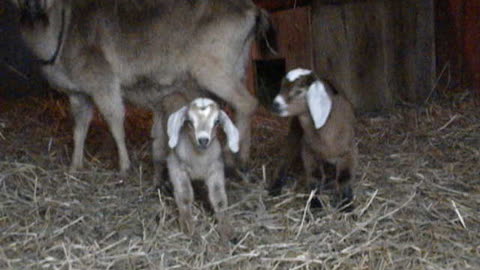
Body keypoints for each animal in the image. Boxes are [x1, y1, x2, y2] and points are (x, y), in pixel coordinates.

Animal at [166, 98, 239, 237]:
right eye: (189, 121)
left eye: (216, 121)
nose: (203, 140)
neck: (199, 159)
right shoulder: (177, 169)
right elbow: (185, 196)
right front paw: (187, 226)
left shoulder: (216, 169)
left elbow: (219, 198)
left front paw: (227, 229)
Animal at [270, 68, 356, 210]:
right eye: (282, 86)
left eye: (299, 91)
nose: (275, 105)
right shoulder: (308, 151)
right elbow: (315, 177)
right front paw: (315, 203)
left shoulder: (348, 151)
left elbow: (344, 177)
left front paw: (347, 204)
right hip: (295, 130)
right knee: (286, 156)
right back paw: (275, 187)